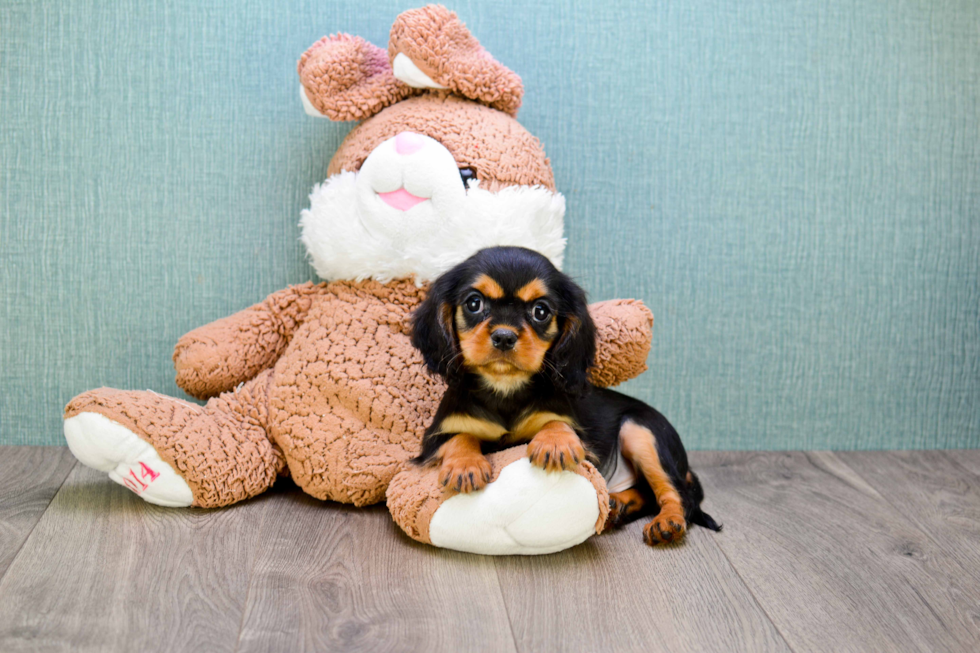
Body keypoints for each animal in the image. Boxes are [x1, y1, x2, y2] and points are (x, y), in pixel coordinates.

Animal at [410, 247, 724, 544]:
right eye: (474, 303)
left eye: (541, 311)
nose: (504, 337)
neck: (506, 389)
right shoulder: (436, 437)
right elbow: (460, 437)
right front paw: (466, 465)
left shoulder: (579, 431)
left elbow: (557, 422)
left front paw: (555, 443)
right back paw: (617, 506)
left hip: (642, 430)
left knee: (678, 494)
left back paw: (666, 523)